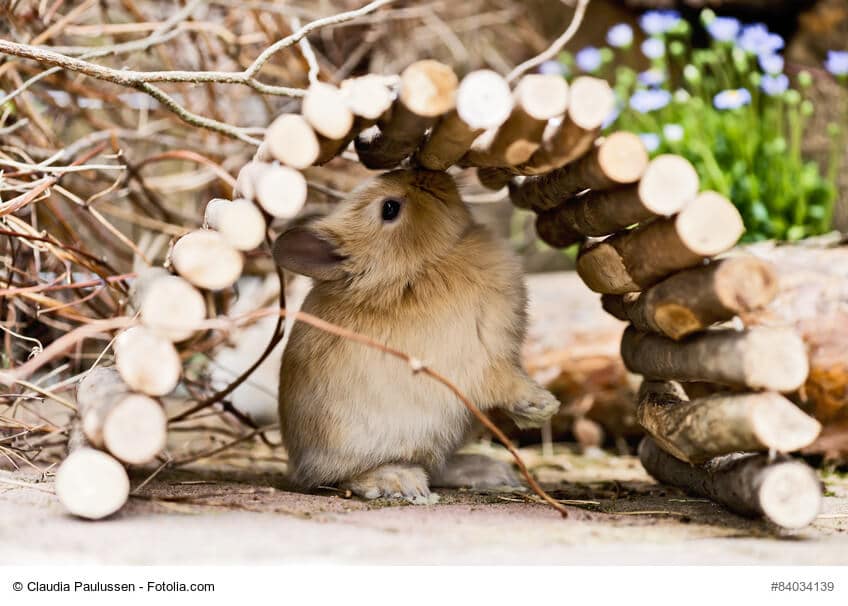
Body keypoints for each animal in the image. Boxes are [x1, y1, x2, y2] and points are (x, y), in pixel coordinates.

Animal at [273, 169, 560, 502]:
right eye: (389, 209)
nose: (428, 174)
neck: (415, 270)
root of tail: (299, 463)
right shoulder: (480, 363)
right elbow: (506, 384)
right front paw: (543, 407)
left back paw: (489, 472)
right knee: (341, 477)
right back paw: (398, 482)